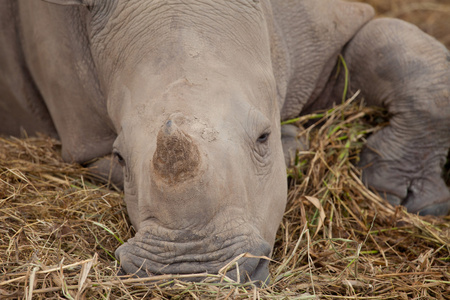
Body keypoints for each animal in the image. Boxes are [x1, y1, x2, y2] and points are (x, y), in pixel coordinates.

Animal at [0, 0, 450, 282]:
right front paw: (296, 143)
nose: (190, 268)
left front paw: (406, 198)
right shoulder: (85, 140)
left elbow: (402, 52)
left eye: (263, 137)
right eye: (121, 157)